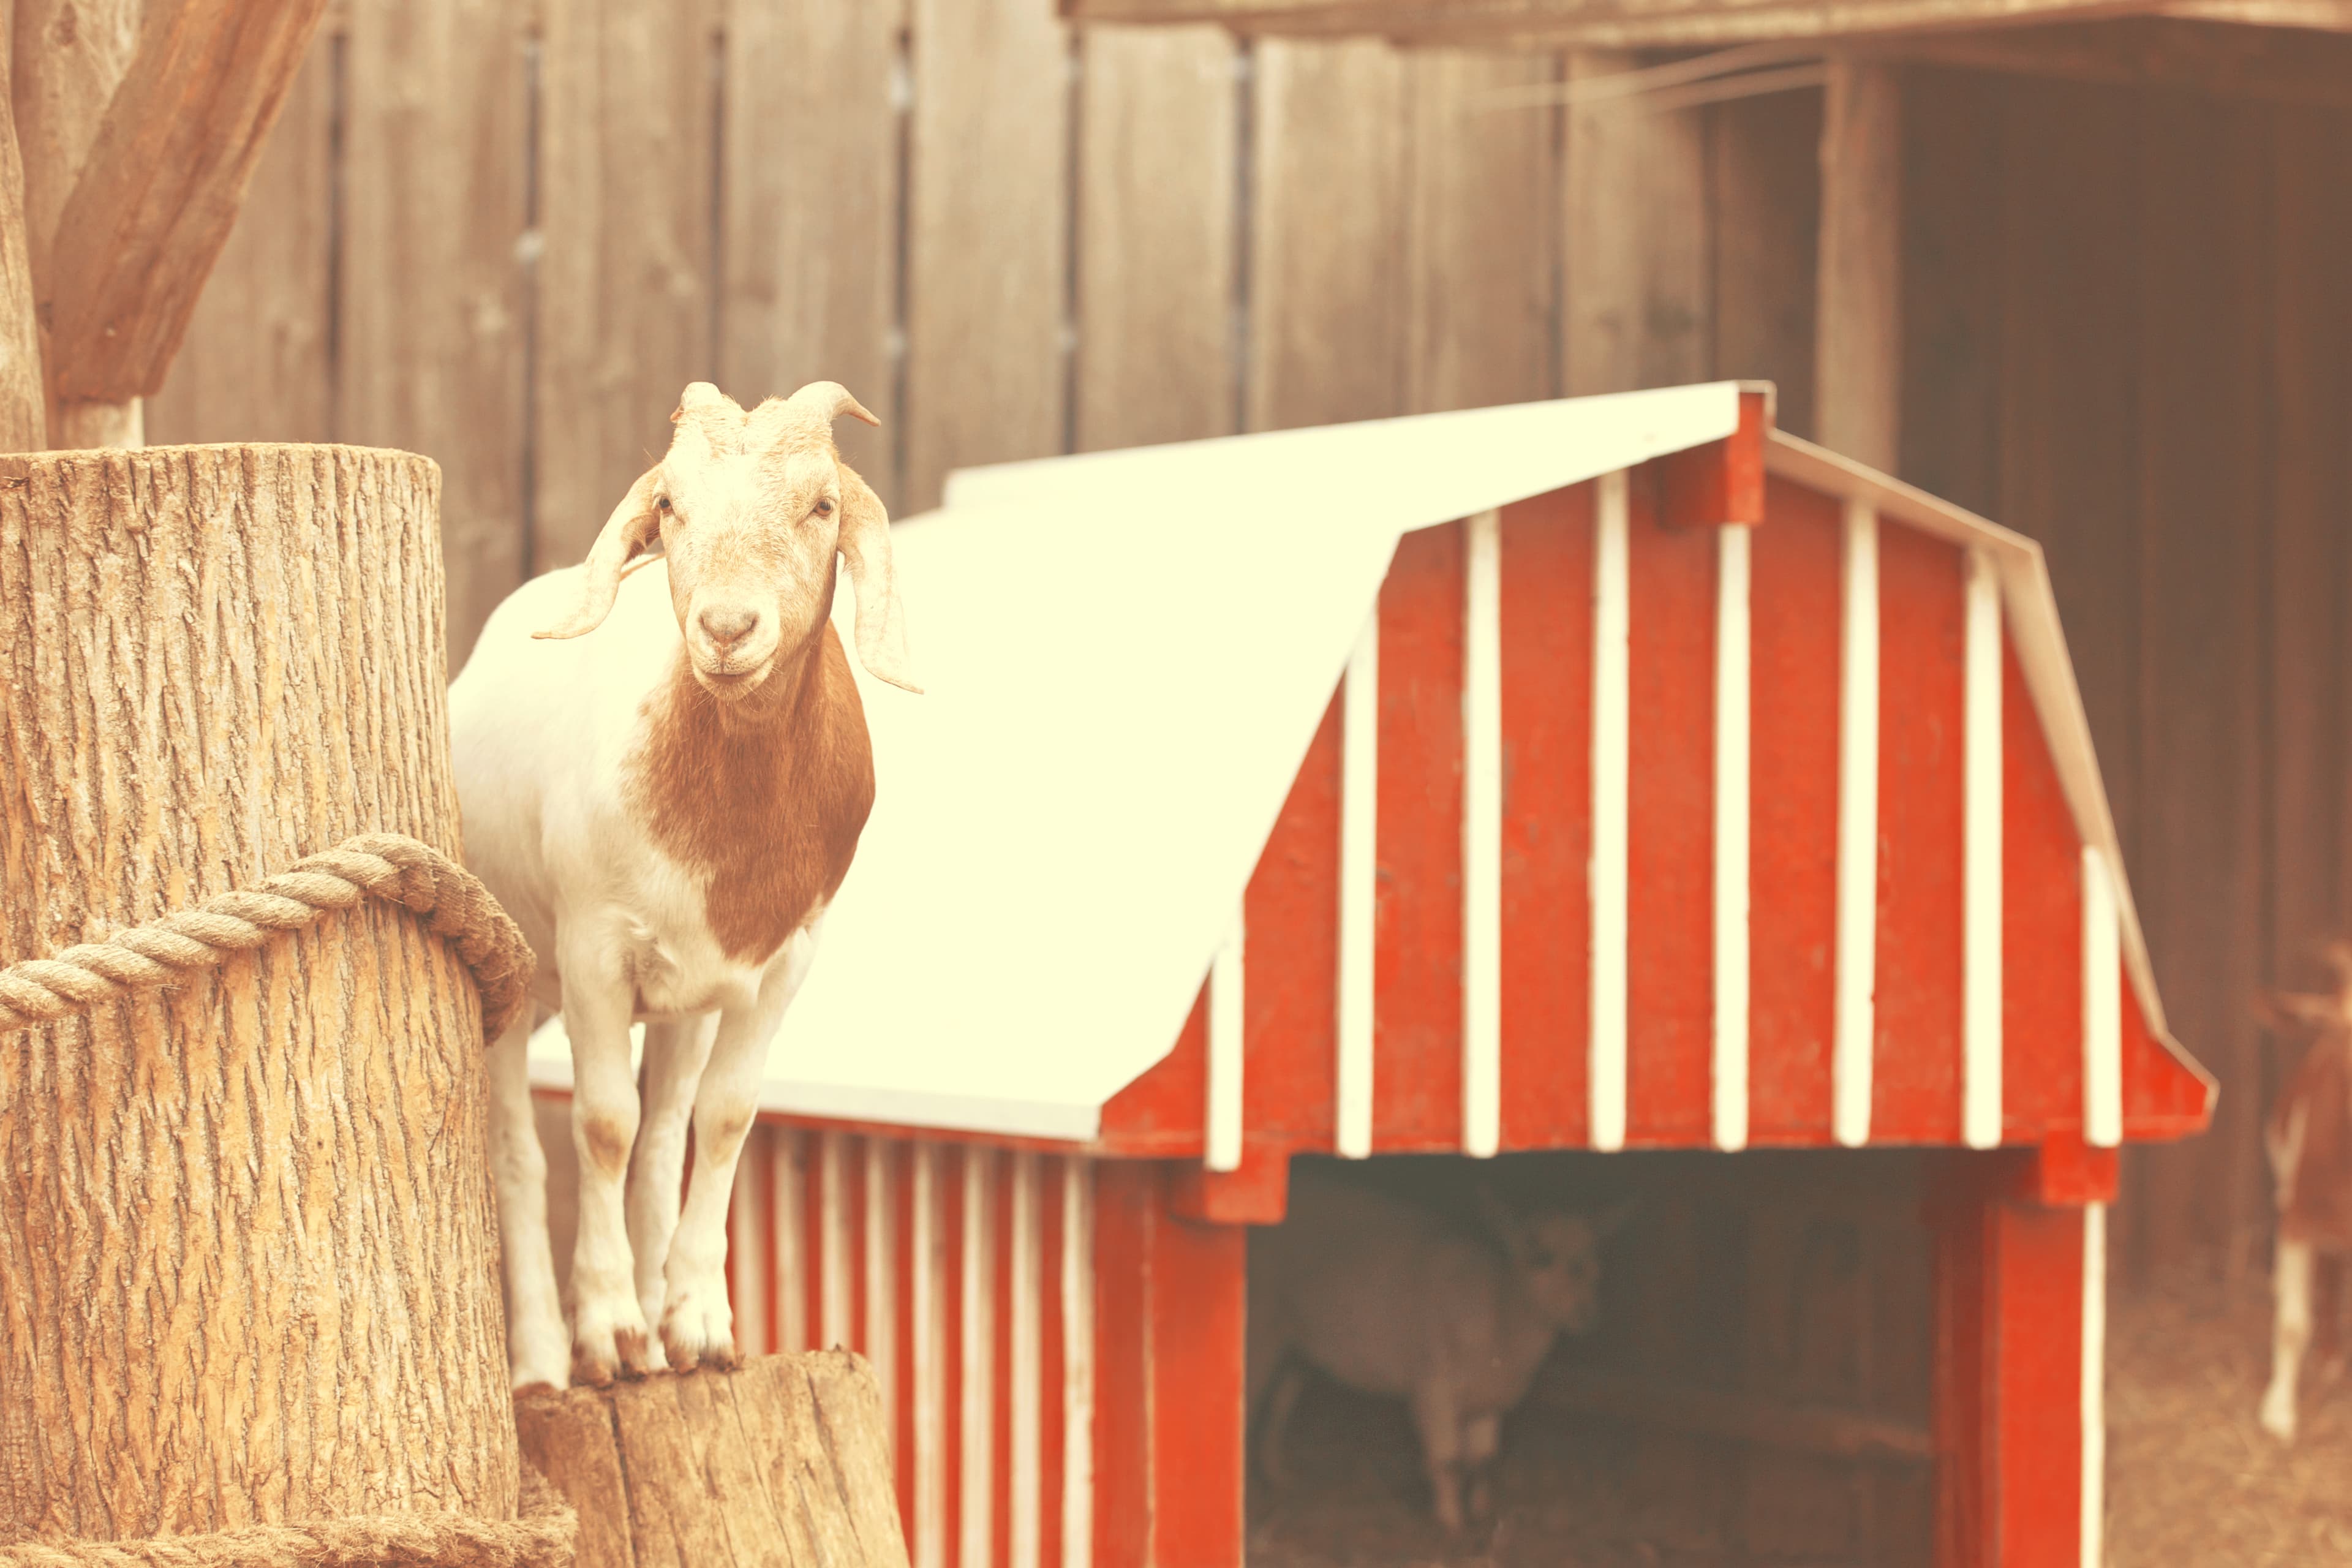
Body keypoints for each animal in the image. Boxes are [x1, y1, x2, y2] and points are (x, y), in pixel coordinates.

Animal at [449, 380, 918, 1390]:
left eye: (823, 506)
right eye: (669, 505)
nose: (728, 629)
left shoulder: (778, 963)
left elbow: (724, 1120)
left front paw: (699, 1325)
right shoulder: (593, 948)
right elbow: (601, 1125)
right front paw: (612, 1332)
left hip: (682, 1007)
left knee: (665, 1138)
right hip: (510, 974)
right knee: (518, 1157)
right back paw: (543, 1363)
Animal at [1246, 1164, 1628, 1531]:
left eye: (1594, 1259)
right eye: (1542, 1258)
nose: (1587, 1314)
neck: (1498, 1308)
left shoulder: (1487, 1398)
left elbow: (1484, 1462)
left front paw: (1482, 1515)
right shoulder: (1434, 1388)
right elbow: (1449, 1462)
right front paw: (1450, 1523)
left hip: (1295, 1337)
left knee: (1281, 1401)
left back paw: (1278, 1474)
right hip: (1262, 1321)